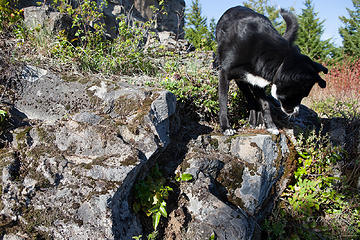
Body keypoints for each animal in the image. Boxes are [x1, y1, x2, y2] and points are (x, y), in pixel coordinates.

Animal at [215, 6, 328, 135]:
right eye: (300, 94)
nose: (296, 113)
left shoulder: (257, 80)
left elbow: (265, 104)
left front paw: (270, 125)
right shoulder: (224, 74)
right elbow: (223, 101)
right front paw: (226, 127)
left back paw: (257, 121)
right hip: (240, 79)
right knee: (249, 97)